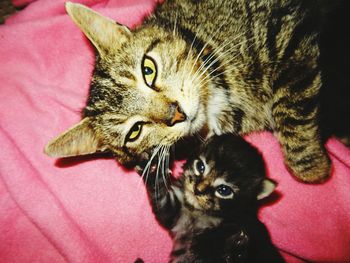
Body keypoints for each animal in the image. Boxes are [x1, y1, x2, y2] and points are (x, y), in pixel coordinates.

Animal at [44, 0, 348, 184]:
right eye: (135, 131)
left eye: (148, 69)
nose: (175, 113)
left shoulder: (285, 31)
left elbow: (292, 109)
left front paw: (312, 167)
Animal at [140, 135, 284, 262]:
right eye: (200, 166)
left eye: (224, 190)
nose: (198, 190)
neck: (198, 212)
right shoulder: (174, 213)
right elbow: (160, 193)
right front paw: (153, 166)